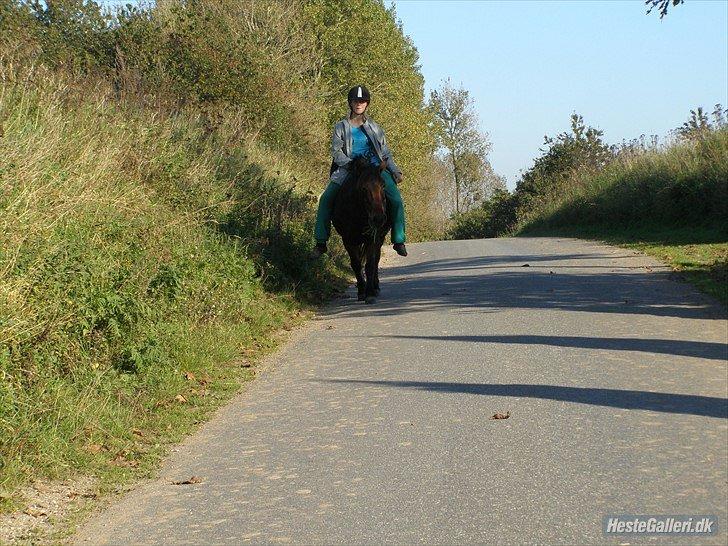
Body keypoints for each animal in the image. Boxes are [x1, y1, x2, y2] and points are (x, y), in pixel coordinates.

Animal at [334, 156, 392, 302]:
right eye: (364, 188)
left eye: (383, 185)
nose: (378, 218)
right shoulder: (347, 240)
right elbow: (356, 264)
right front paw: (361, 291)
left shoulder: (372, 238)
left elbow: (370, 264)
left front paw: (370, 293)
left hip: (380, 237)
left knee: (376, 259)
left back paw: (375, 287)